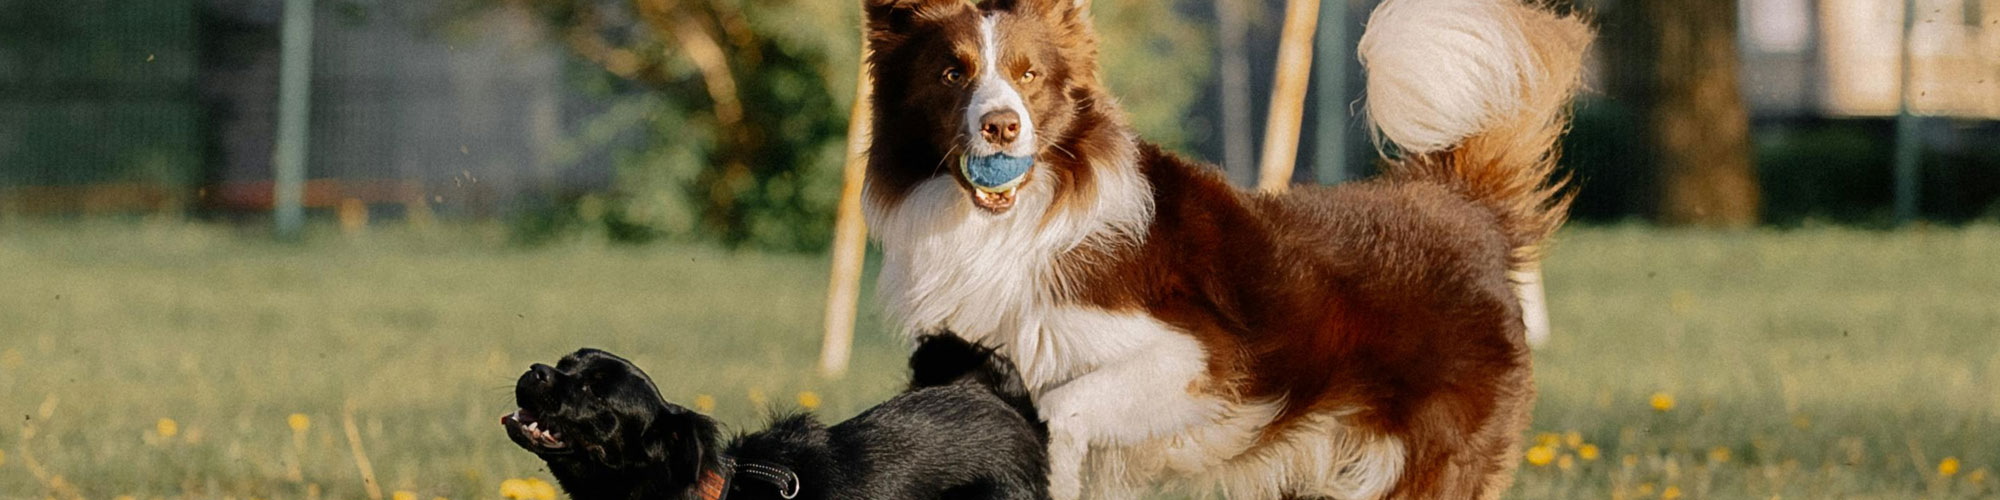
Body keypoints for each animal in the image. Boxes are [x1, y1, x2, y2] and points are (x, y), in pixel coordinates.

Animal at [860, 0, 1592, 496]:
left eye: (1029, 73)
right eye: (952, 73)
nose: (1002, 127)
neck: (1010, 227)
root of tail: (1463, 204)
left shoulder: (1201, 360)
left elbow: (1059, 408)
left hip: (1426, 460)